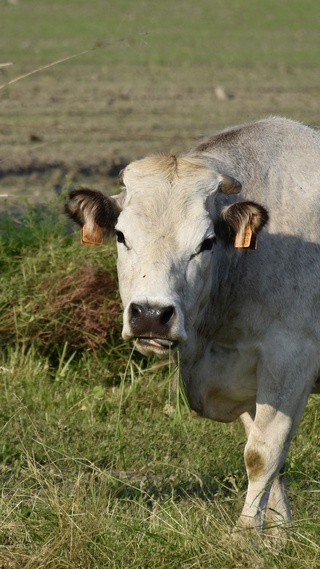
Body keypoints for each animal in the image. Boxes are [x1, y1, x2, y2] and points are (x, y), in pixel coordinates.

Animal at [65, 117, 320, 536]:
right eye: (121, 235)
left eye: (207, 242)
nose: (151, 314)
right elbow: (273, 458)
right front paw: (279, 535)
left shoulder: (290, 359)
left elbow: (263, 454)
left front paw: (245, 537)